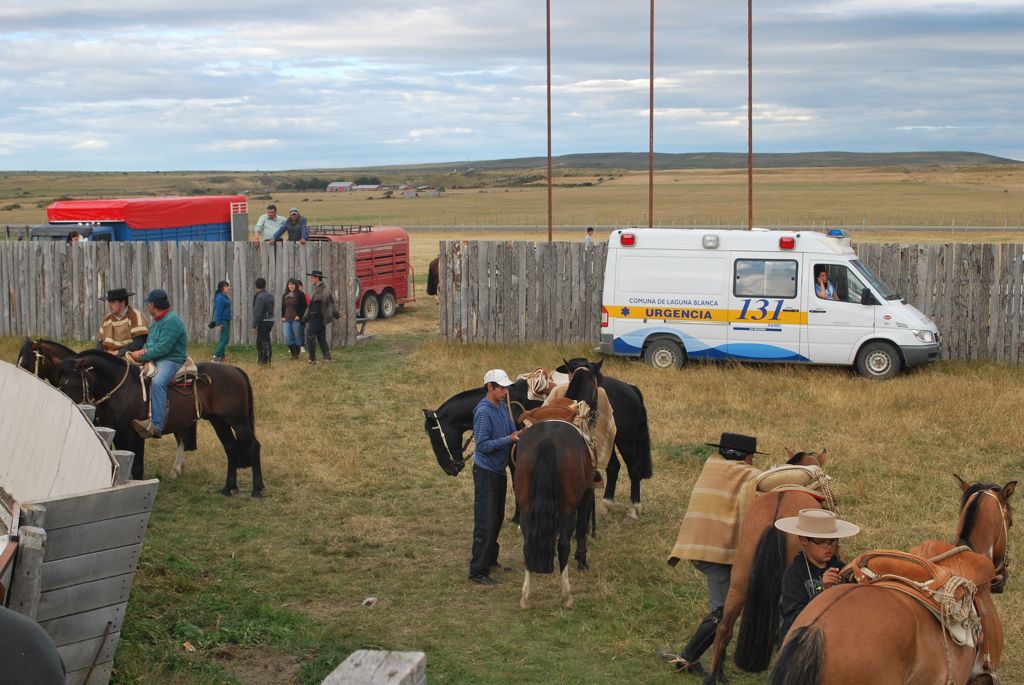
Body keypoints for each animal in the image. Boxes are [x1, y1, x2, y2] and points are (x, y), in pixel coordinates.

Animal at [55, 350, 264, 493]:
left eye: (74, 382)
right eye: (60, 382)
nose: (68, 405)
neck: (123, 389)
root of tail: (235, 370)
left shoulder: (134, 434)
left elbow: (137, 468)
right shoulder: (119, 435)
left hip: (238, 421)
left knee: (253, 446)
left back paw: (257, 489)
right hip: (218, 420)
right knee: (231, 448)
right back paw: (229, 488)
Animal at [557, 356, 651, 520]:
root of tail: (630, 388)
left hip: (625, 442)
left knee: (634, 468)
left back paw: (633, 509)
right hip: (609, 442)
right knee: (613, 467)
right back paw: (607, 504)